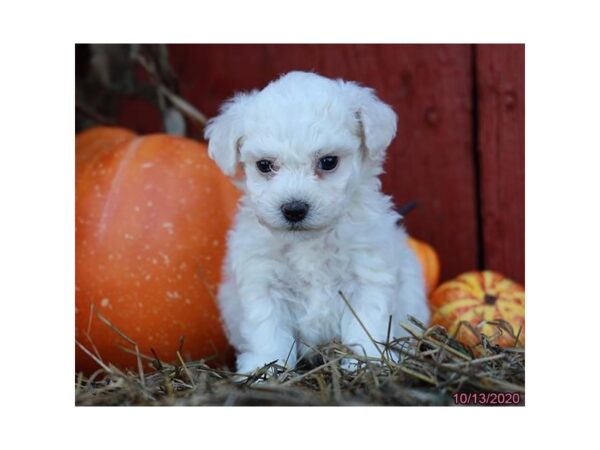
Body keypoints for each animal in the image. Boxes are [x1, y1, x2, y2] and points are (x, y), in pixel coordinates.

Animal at [204, 71, 428, 372]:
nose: (294, 208)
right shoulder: (263, 282)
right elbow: (268, 331)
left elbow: (367, 323)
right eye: (264, 165)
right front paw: (266, 368)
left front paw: (367, 362)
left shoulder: (367, 276)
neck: (309, 240)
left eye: (329, 161)